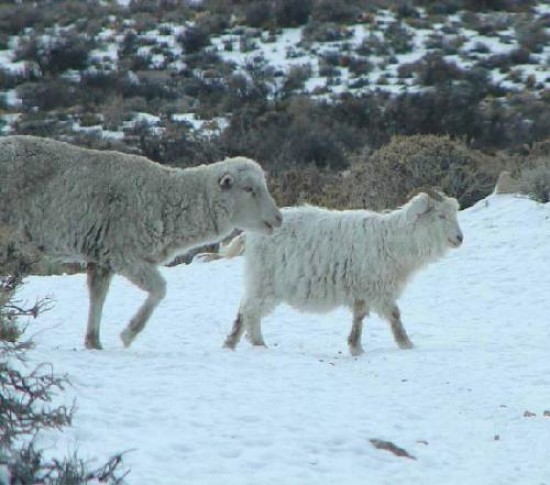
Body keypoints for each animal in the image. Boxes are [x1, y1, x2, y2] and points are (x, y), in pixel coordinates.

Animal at [0, 135, 282, 348]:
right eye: (249, 189)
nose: (278, 218)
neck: (165, 196)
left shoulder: (101, 256)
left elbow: (97, 295)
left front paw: (93, 342)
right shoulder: (123, 254)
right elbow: (159, 288)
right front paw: (130, 332)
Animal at [225, 188, 466, 356]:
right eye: (441, 216)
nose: (459, 238)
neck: (392, 240)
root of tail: (248, 236)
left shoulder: (362, 290)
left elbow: (358, 317)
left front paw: (355, 347)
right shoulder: (378, 288)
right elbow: (395, 315)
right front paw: (407, 344)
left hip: (259, 280)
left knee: (244, 310)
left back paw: (234, 344)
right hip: (265, 280)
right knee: (250, 310)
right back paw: (256, 344)